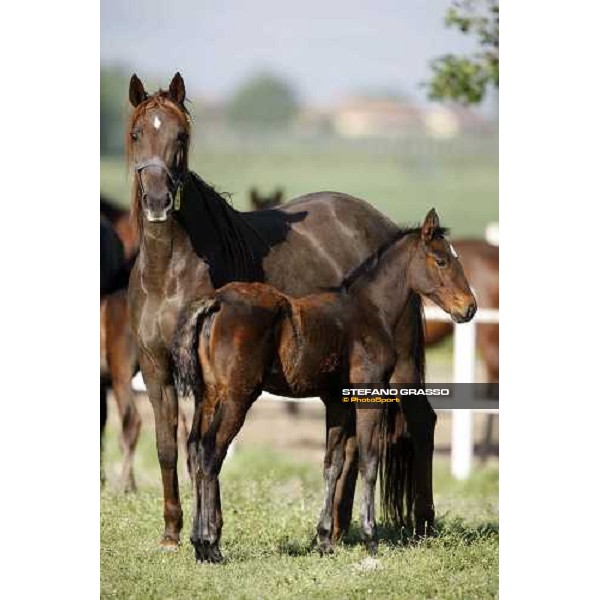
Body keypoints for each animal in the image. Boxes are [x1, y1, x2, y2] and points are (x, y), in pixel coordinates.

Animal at [126, 72, 436, 552]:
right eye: (138, 133)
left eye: (182, 136)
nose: (158, 201)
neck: (169, 271)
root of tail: (384, 224)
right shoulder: (156, 368)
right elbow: (168, 447)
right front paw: (172, 533)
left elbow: (203, 450)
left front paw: (211, 531)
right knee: (348, 447)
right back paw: (335, 529)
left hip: (400, 365)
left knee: (421, 422)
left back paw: (422, 525)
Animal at [172, 210, 478, 564]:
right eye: (442, 261)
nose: (469, 308)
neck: (369, 310)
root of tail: (216, 301)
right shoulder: (369, 393)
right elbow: (370, 460)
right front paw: (370, 537)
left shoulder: (337, 401)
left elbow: (333, 463)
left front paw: (324, 540)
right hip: (237, 397)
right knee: (211, 453)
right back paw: (209, 545)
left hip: (208, 396)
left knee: (195, 450)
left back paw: (199, 543)